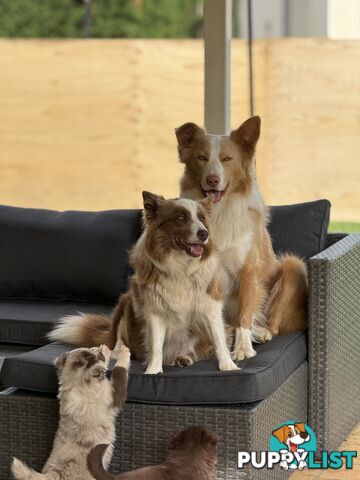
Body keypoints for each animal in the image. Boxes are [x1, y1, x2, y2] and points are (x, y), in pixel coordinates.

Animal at [11, 344, 131, 480]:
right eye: (93, 352)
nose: (98, 347)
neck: (76, 383)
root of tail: (54, 474)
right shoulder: (114, 395)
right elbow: (119, 370)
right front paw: (123, 353)